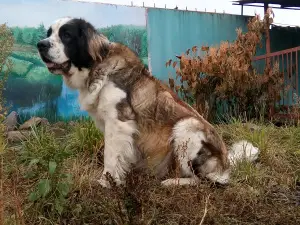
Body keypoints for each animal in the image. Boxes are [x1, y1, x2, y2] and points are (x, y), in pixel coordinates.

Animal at [37, 16, 258, 188]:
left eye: (66, 35)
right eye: (49, 33)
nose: (41, 44)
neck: (96, 66)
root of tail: (226, 161)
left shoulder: (118, 123)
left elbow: (110, 155)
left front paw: (106, 182)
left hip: (186, 125)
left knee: (204, 181)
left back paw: (172, 182)